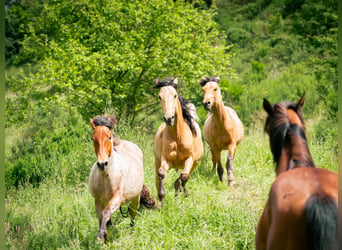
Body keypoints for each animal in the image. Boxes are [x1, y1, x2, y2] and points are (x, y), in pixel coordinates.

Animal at [89, 114, 157, 242]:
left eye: (109, 137)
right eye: (92, 138)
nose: (102, 164)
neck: (106, 177)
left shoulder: (116, 199)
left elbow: (106, 213)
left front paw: (101, 236)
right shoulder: (98, 201)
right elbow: (101, 218)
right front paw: (105, 236)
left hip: (135, 198)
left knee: (132, 212)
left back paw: (131, 230)